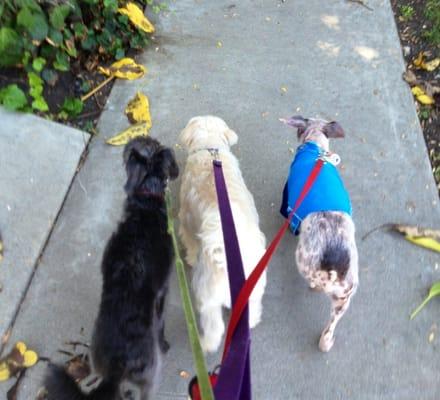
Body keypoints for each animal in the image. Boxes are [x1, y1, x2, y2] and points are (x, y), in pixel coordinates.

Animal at [45, 136, 180, 398]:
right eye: (152, 143)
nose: (134, 138)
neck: (146, 205)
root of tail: (120, 362)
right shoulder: (163, 292)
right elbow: (161, 324)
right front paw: (165, 342)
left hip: (97, 358)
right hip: (150, 377)